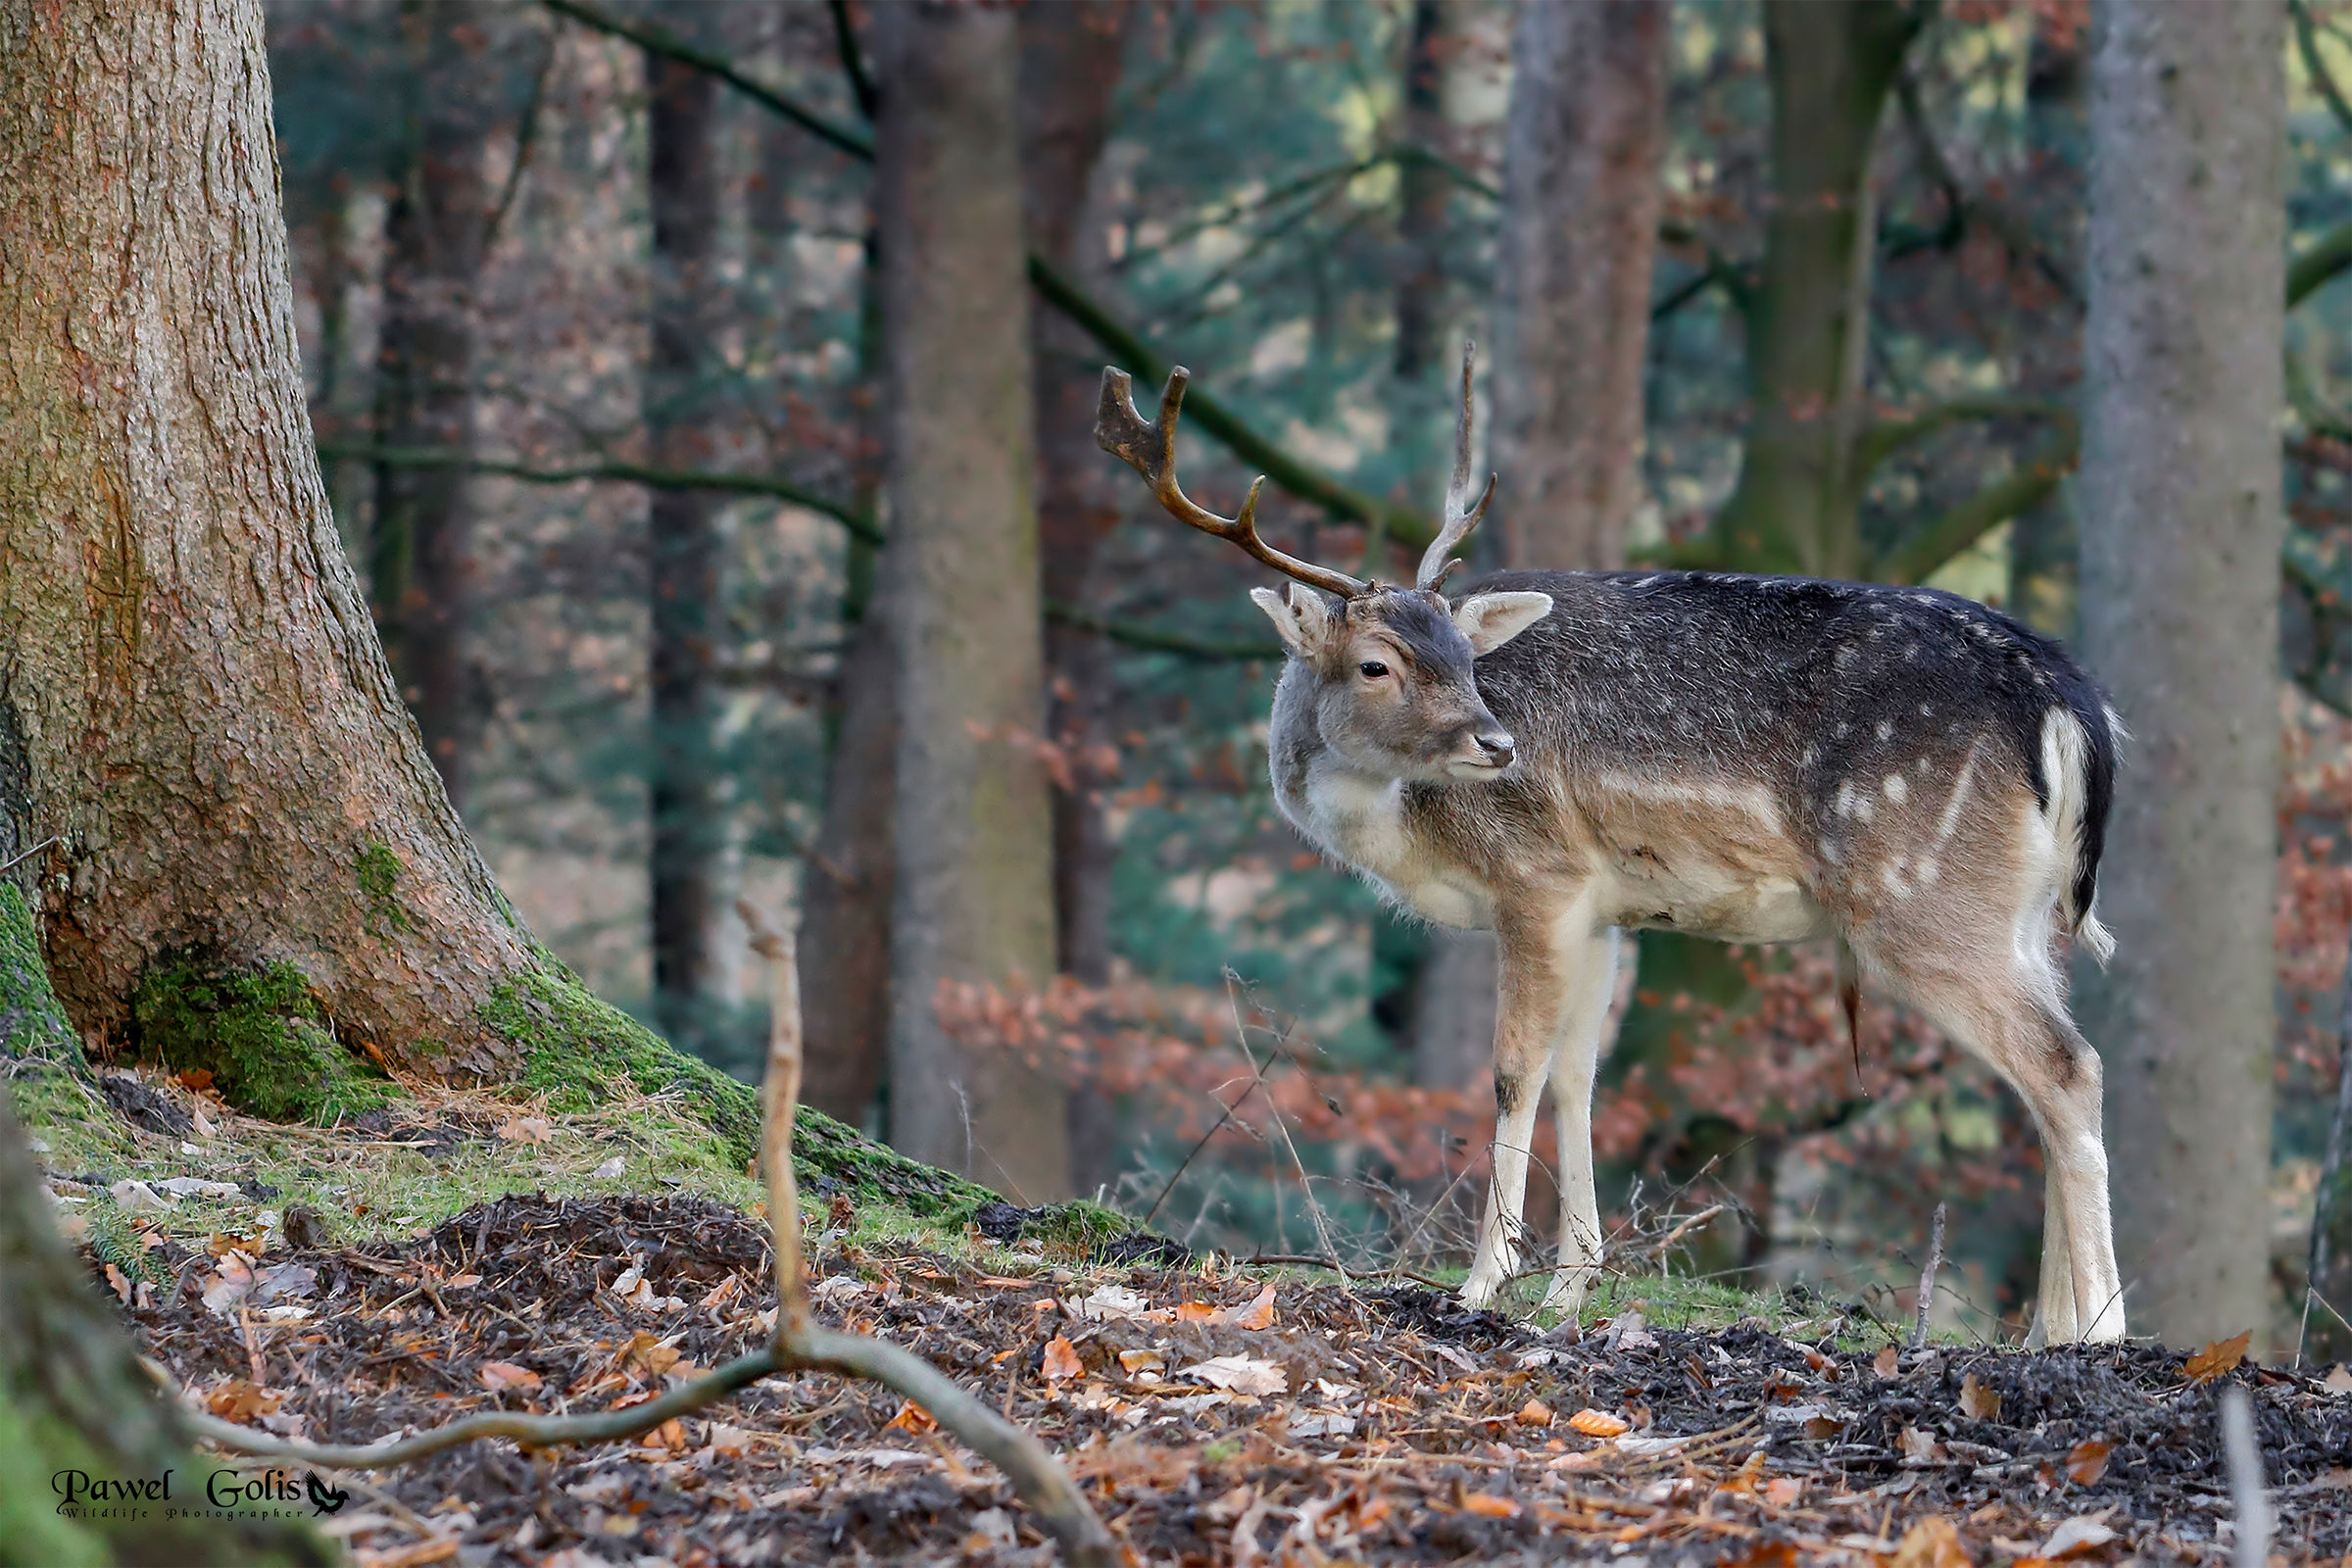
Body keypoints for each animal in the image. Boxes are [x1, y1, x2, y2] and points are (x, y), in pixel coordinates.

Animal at [1094, 344, 2127, 1345]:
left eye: (1466, 662)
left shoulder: (1535, 874)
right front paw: (1569, 1287)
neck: (1404, 833)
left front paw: (1483, 1283)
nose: (1498, 744)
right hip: (2024, 913)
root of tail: (2070, 704)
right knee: (2046, 1077)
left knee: (2067, 1067)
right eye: (1377, 664)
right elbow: (1577, 1077)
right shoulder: (1599, 907)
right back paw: (2047, 1331)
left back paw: (2102, 1332)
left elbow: (1514, 1072)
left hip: (1921, 896)